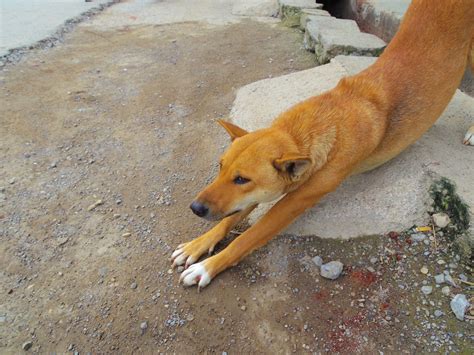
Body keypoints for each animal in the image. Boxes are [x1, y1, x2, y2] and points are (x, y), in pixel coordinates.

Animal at [170, 0, 474, 290]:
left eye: (242, 179)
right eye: (220, 168)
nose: (195, 208)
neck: (304, 133)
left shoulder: (295, 201)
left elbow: (245, 239)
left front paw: (207, 267)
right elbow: (227, 219)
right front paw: (198, 244)